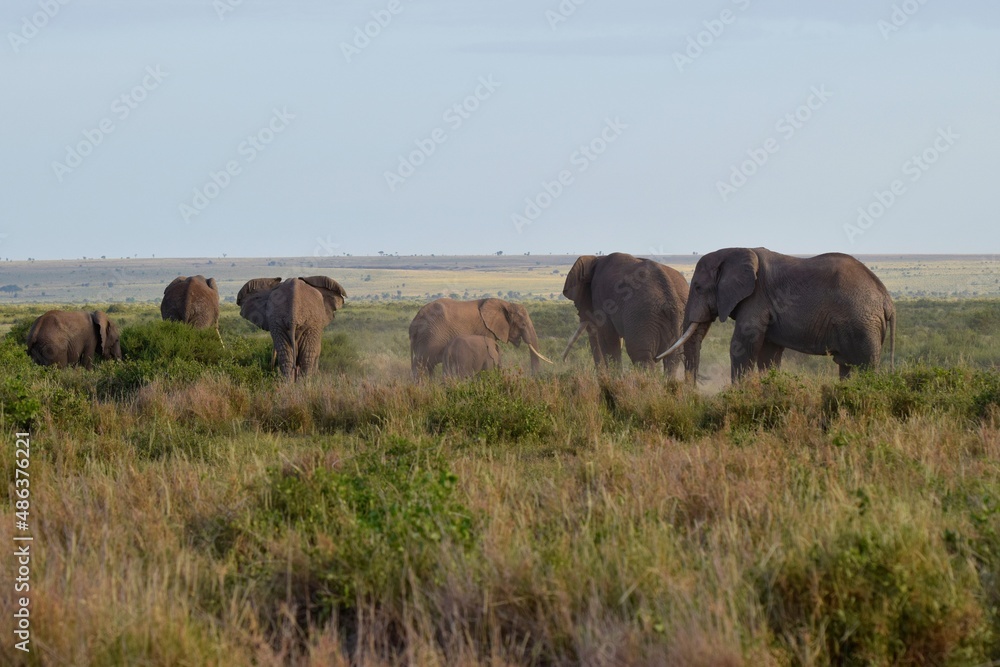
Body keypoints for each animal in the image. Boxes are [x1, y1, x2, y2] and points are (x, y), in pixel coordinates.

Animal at [412, 298, 556, 376]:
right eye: (523, 324)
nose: (533, 377)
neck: (505, 304)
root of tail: (414, 322)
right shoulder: (485, 329)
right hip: (429, 337)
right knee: (422, 367)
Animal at [564, 252, 696, 378]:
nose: (563, 361)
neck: (597, 259)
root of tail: (671, 295)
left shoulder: (602, 299)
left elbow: (608, 339)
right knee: (672, 359)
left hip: (642, 315)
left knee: (642, 356)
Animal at [660, 247, 896, 384]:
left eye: (698, 287)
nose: (692, 394)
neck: (735, 251)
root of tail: (887, 300)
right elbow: (768, 354)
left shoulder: (757, 298)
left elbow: (742, 346)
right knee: (846, 367)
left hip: (862, 324)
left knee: (866, 366)